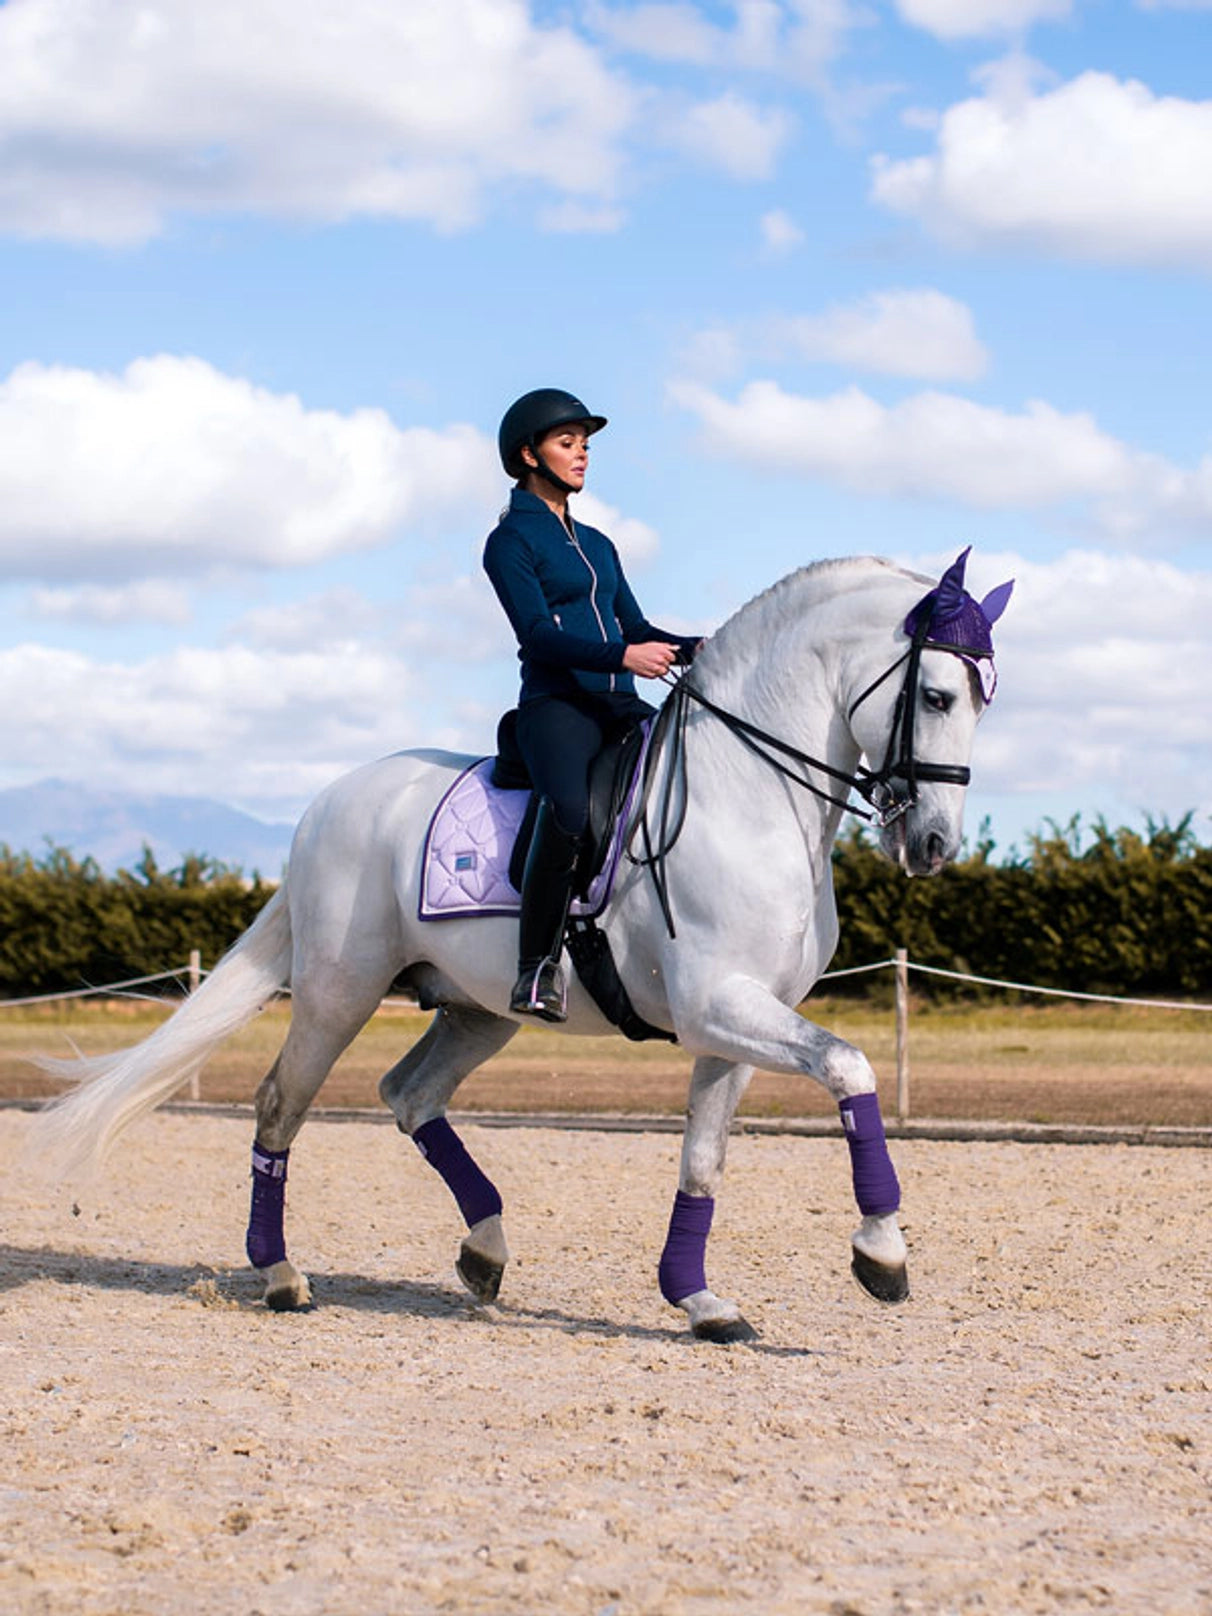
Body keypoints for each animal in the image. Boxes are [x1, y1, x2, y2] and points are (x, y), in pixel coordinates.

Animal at [33, 552, 1008, 1338]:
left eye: (981, 701)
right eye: (936, 695)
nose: (932, 844)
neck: (749, 794)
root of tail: (331, 801)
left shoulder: (736, 1021)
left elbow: (704, 1157)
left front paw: (697, 1300)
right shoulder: (716, 1006)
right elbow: (851, 1067)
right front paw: (882, 1253)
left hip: (476, 1009)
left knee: (409, 1094)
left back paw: (485, 1250)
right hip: (340, 991)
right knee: (281, 1106)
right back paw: (281, 1276)